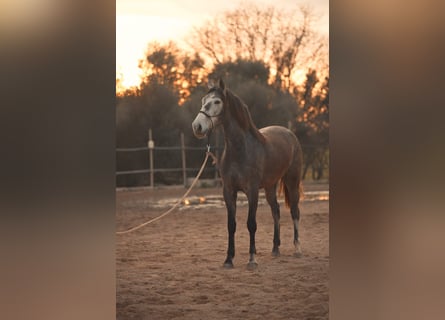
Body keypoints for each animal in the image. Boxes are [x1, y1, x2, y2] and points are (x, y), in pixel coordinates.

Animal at [191, 79, 302, 268]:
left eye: (217, 101)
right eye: (203, 100)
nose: (197, 127)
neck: (241, 149)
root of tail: (289, 133)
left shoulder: (252, 191)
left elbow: (251, 224)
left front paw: (252, 259)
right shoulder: (228, 191)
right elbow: (231, 225)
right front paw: (229, 259)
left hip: (292, 181)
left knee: (294, 212)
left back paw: (297, 249)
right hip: (270, 186)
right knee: (276, 211)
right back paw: (275, 249)